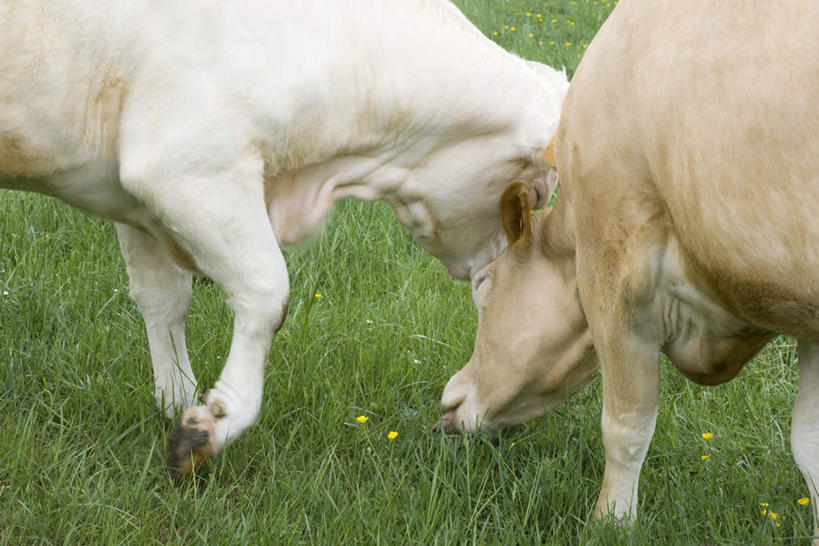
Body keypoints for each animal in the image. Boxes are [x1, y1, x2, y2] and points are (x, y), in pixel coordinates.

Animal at [0, 1, 568, 476]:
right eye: (535, 195)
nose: (489, 274)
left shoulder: (137, 204)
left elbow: (163, 302)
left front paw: (179, 399)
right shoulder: (186, 168)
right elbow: (268, 291)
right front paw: (211, 425)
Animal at [442, 0, 819, 536]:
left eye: (482, 285)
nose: (451, 399)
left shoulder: (615, 273)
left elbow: (626, 424)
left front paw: (611, 523)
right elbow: (809, 446)